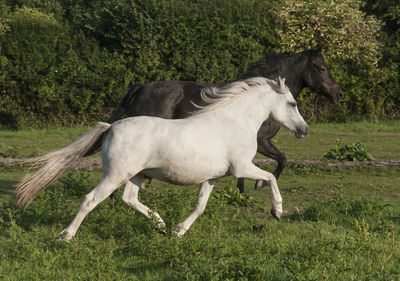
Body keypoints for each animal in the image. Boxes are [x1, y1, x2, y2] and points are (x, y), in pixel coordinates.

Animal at [14, 77, 310, 241]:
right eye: (293, 104)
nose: (304, 130)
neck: (234, 121)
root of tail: (112, 127)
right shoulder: (242, 168)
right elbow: (270, 178)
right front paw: (277, 211)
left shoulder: (213, 177)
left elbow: (200, 206)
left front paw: (179, 231)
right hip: (115, 175)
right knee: (91, 199)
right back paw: (66, 236)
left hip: (136, 175)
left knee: (129, 199)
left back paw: (161, 224)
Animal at [87, 48, 340, 192]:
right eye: (321, 67)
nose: (338, 94)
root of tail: (141, 87)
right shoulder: (262, 142)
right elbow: (282, 160)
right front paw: (255, 186)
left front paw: (244, 190)